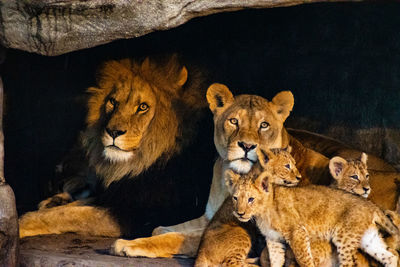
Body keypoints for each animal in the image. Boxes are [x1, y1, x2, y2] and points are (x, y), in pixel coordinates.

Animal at [18, 55, 216, 239]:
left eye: (143, 107)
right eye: (113, 102)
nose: (113, 131)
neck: (142, 162)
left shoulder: (138, 214)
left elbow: (72, 214)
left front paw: (22, 222)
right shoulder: (117, 194)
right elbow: (81, 204)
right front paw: (49, 205)